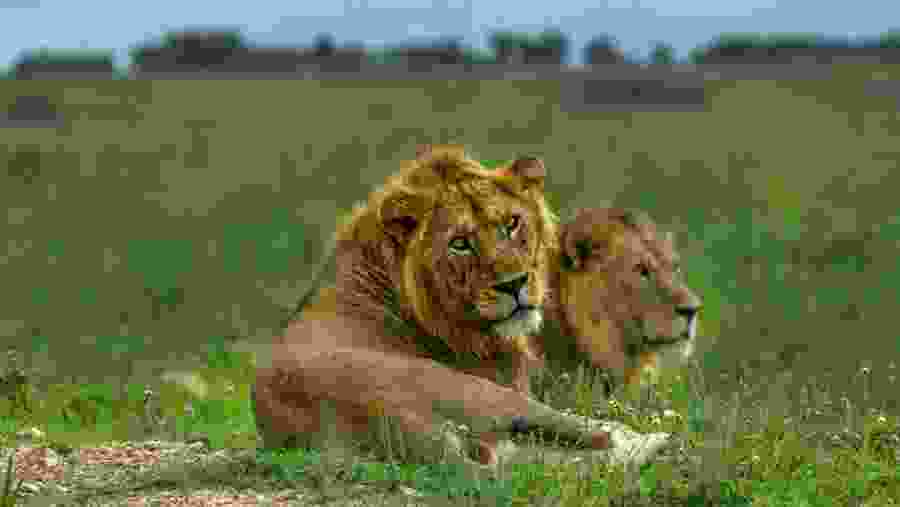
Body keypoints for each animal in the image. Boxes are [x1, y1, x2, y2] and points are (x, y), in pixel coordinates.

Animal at [253, 145, 645, 475]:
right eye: (460, 243)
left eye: (511, 223)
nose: (514, 284)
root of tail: (383, 422)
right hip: (477, 394)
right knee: (598, 437)